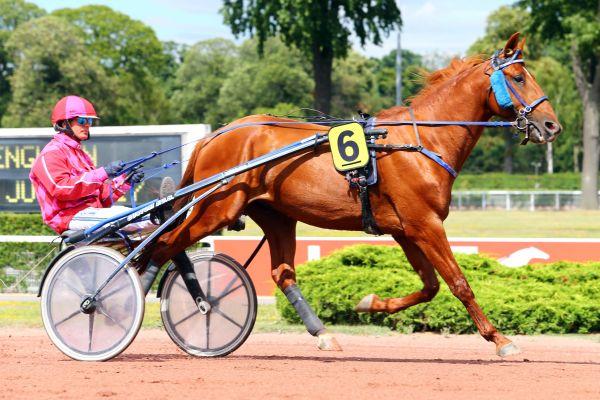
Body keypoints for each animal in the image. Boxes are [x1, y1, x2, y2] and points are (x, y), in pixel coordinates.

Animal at [146, 33, 562, 357]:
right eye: (519, 77)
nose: (552, 125)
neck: (421, 141)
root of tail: (216, 135)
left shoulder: (406, 229)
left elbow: (429, 287)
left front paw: (369, 303)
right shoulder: (425, 224)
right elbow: (458, 283)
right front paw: (500, 339)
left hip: (277, 215)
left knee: (281, 272)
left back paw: (323, 334)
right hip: (216, 209)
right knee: (163, 245)